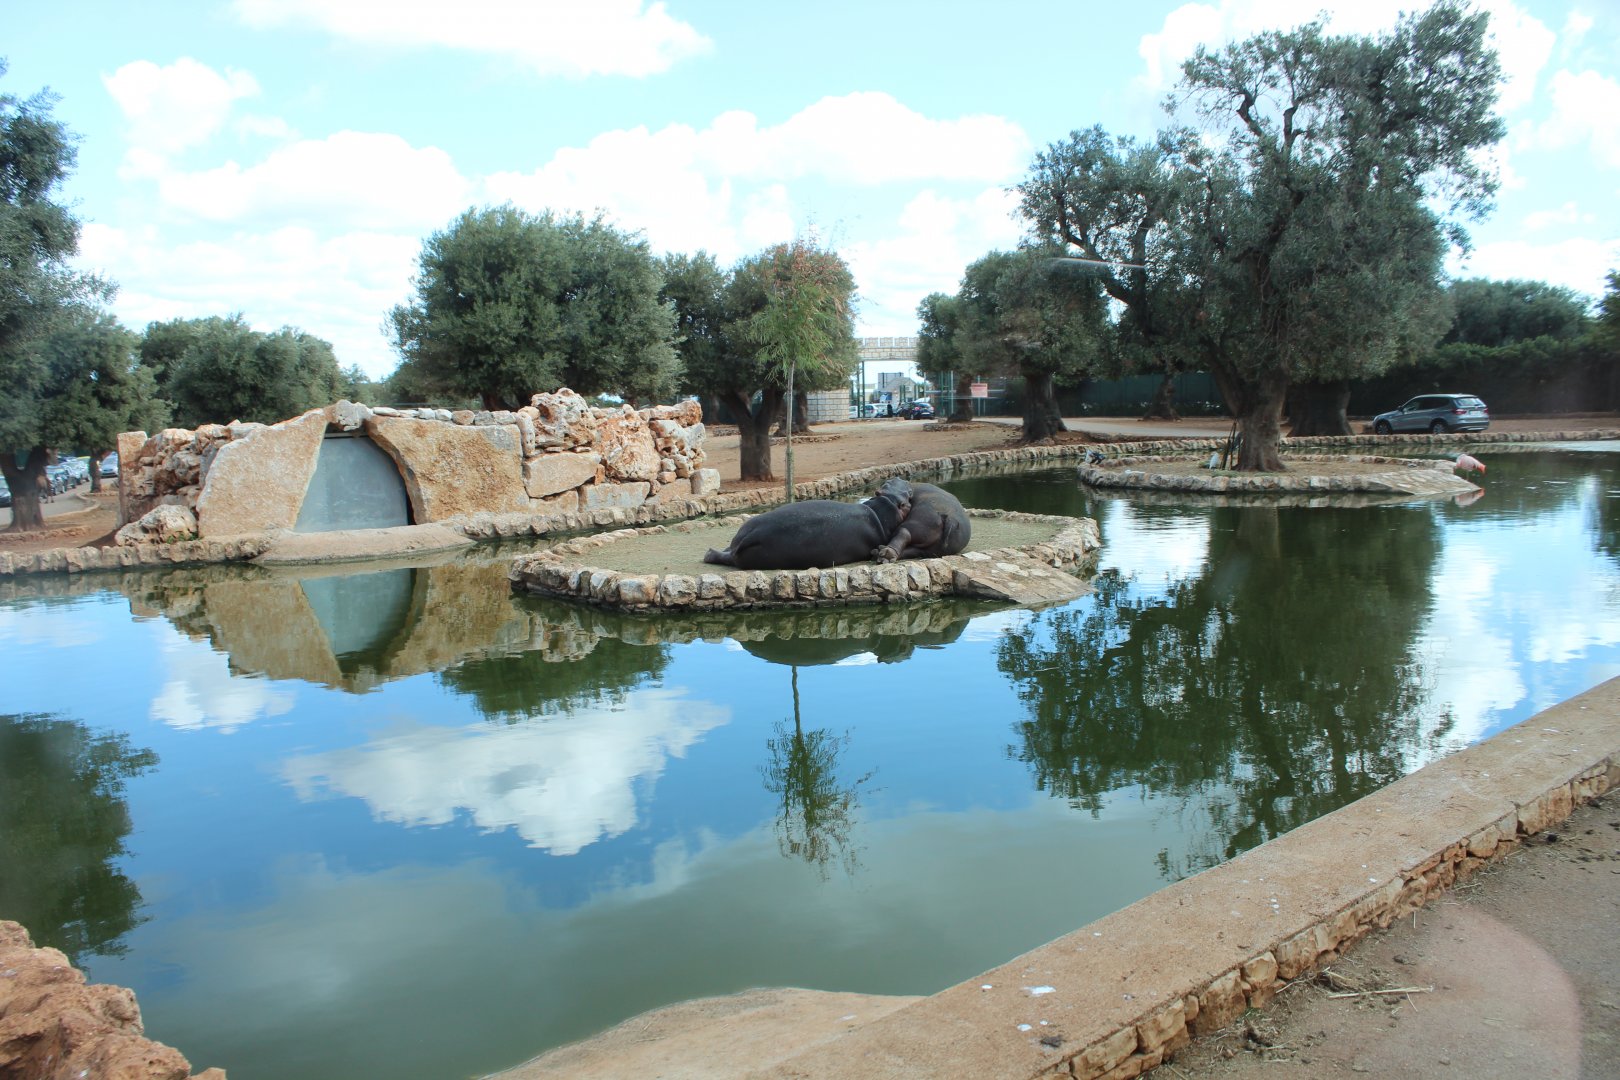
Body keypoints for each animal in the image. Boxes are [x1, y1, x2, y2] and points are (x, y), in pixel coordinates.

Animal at [703, 478, 913, 570]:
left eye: (886, 484)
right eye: (909, 493)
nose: (898, 477)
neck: (885, 504)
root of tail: (752, 535)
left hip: (745, 531)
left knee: (727, 553)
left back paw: (709, 553)